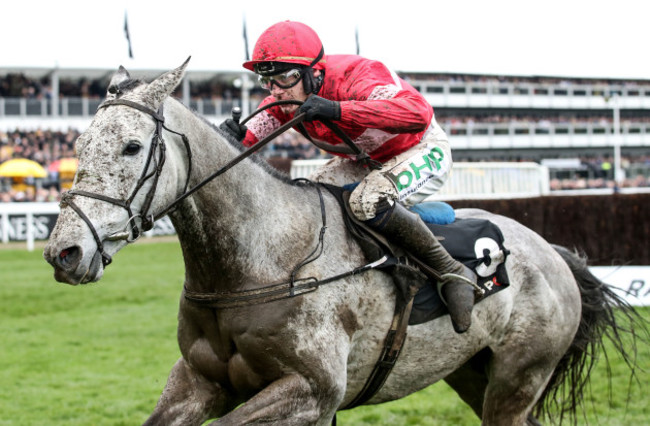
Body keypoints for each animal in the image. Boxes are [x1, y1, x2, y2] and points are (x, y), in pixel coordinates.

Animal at [44, 58, 636, 424]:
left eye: (131, 146)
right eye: (79, 143)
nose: (63, 253)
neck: (262, 262)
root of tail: (553, 252)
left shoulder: (313, 391)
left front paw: (320, 108)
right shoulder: (198, 381)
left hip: (518, 377)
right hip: (473, 374)